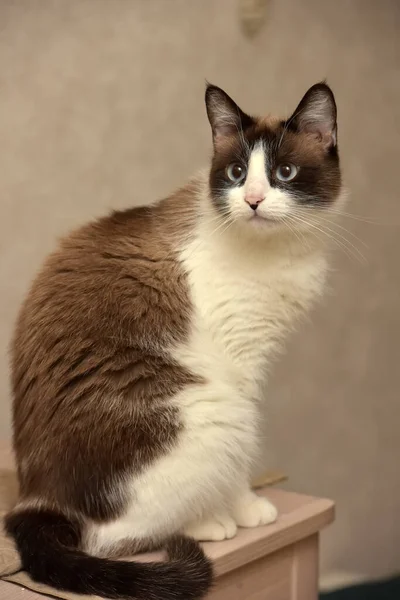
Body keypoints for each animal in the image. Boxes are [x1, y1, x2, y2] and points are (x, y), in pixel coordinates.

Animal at [4, 83, 340, 600]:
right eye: (237, 173)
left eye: (284, 172)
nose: (253, 200)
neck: (276, 253)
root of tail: (36, 499)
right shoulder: (241, 365)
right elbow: (241, 467)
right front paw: (246, 508)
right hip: (214, 411)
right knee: (109, 538)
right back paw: (208, 522)